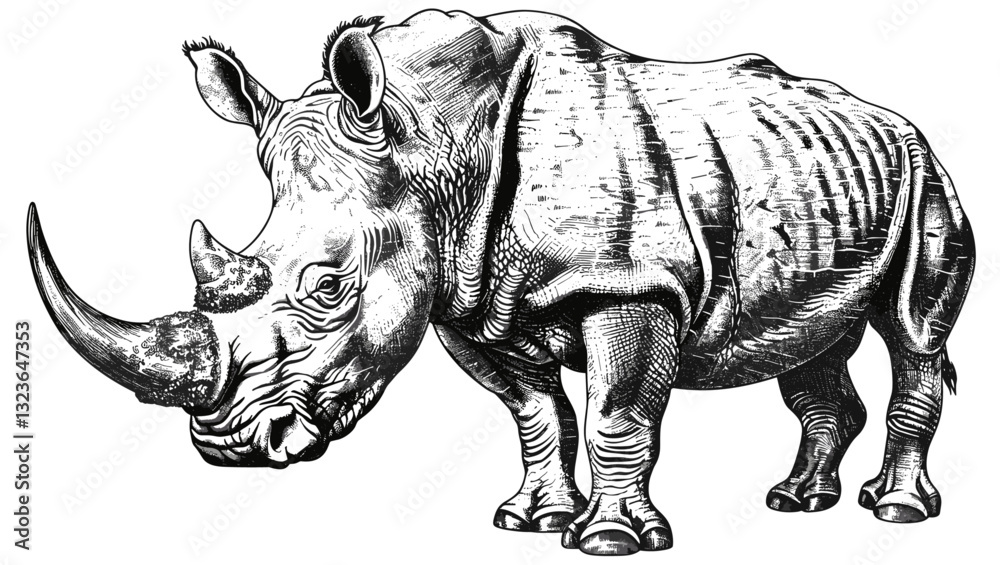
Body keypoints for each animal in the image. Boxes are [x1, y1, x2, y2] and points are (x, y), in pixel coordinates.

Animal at [27, 9, 974, 555]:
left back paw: (894, 513)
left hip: (928, 174)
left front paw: (610, 541)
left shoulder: (627, 280)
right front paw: (531, 521)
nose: (227, 445)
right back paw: (797, 502)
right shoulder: (468, 296)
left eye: (328, 287)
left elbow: (616, 409)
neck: (428, 138)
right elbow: (535, 413)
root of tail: (899, 121)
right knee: (812, 346)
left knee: (914, 334)